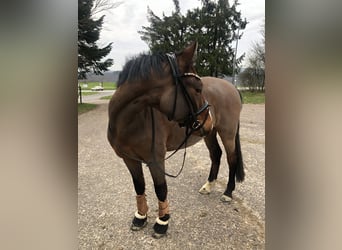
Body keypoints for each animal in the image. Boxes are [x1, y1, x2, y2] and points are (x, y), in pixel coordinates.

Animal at [107, 42, 243, 238]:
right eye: (197, 89)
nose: (208, 119)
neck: (130, 121)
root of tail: (231, 87)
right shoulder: (129, 159)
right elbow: (139, 186)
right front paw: (140, 217)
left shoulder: (156, 160)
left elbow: (160, 188)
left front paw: (162, 222)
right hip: (209, 133)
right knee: (216, 154)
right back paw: (208, 186)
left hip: (227, 132)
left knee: (231, 158)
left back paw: (228, 192)